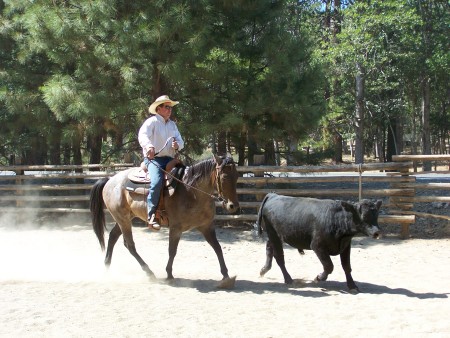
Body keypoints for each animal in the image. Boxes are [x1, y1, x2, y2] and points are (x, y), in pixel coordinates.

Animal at [89, 154, 241, 286]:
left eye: (237, 176)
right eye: (224, 177)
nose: (232, 206)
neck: (191, 192)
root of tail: (109, 180)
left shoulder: (206, 226)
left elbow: (217, 248)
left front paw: (226, 276)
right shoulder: (176, 228)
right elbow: (172, 250)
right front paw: (169, 275)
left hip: (125, 218)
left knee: (113, 237)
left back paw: (107, 267)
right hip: (123, 219)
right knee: (130, 245)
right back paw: (149, 273)